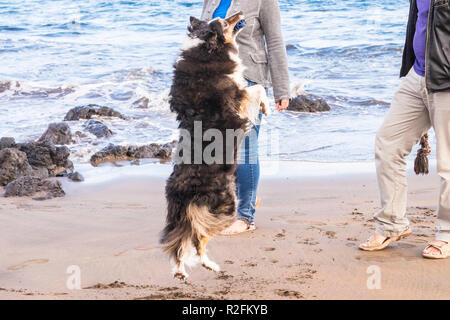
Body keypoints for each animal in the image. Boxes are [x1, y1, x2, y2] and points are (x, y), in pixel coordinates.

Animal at [160, 11, 268, 278]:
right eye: (222, 21)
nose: (239, 13)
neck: (208, 49)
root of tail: (182, 191)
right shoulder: (238, 99)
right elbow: (258, 88)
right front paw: (267, 107)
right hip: (224, 204)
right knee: (201, 234)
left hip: (181, 215)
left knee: (185, 241)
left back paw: (191, 269)